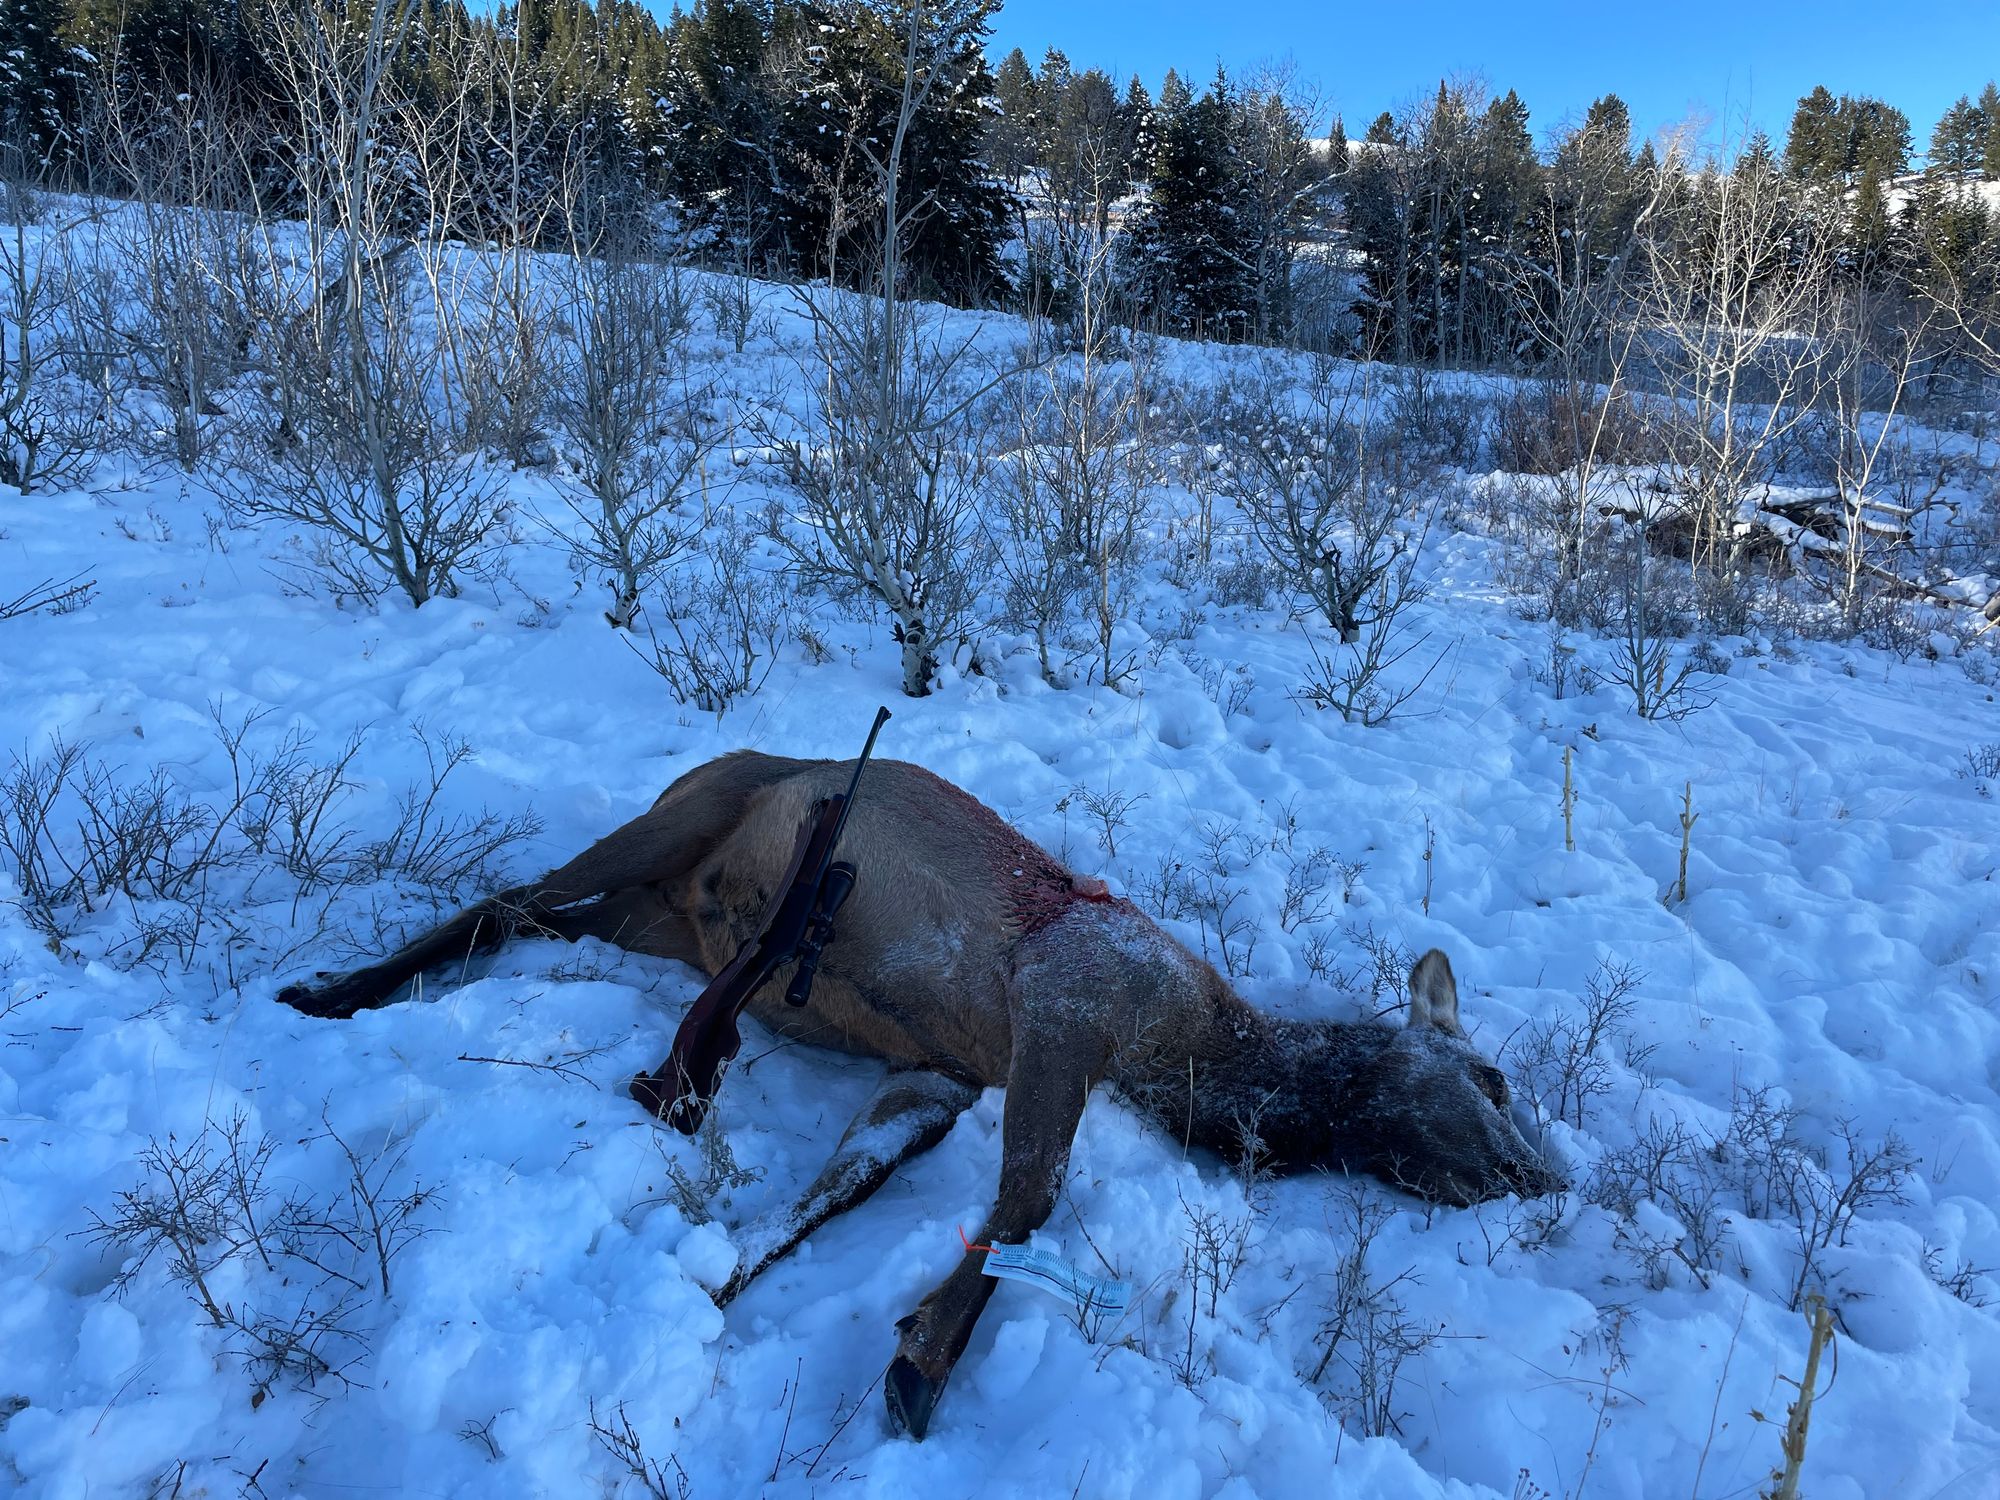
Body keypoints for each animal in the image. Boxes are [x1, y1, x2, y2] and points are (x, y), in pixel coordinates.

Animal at [282, 752, 1560, 1448]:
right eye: (1491, 1078)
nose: (1543, 1175)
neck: (1191, 1051)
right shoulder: (1066, 997)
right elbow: (1030, 1199)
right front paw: (917, 1367)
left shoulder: (939, 1075)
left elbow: (840, 1187)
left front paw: (711, 1284)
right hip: (683, 814)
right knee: (507, 892)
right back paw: (329, 992)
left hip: (661, 923)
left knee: (538, 918)